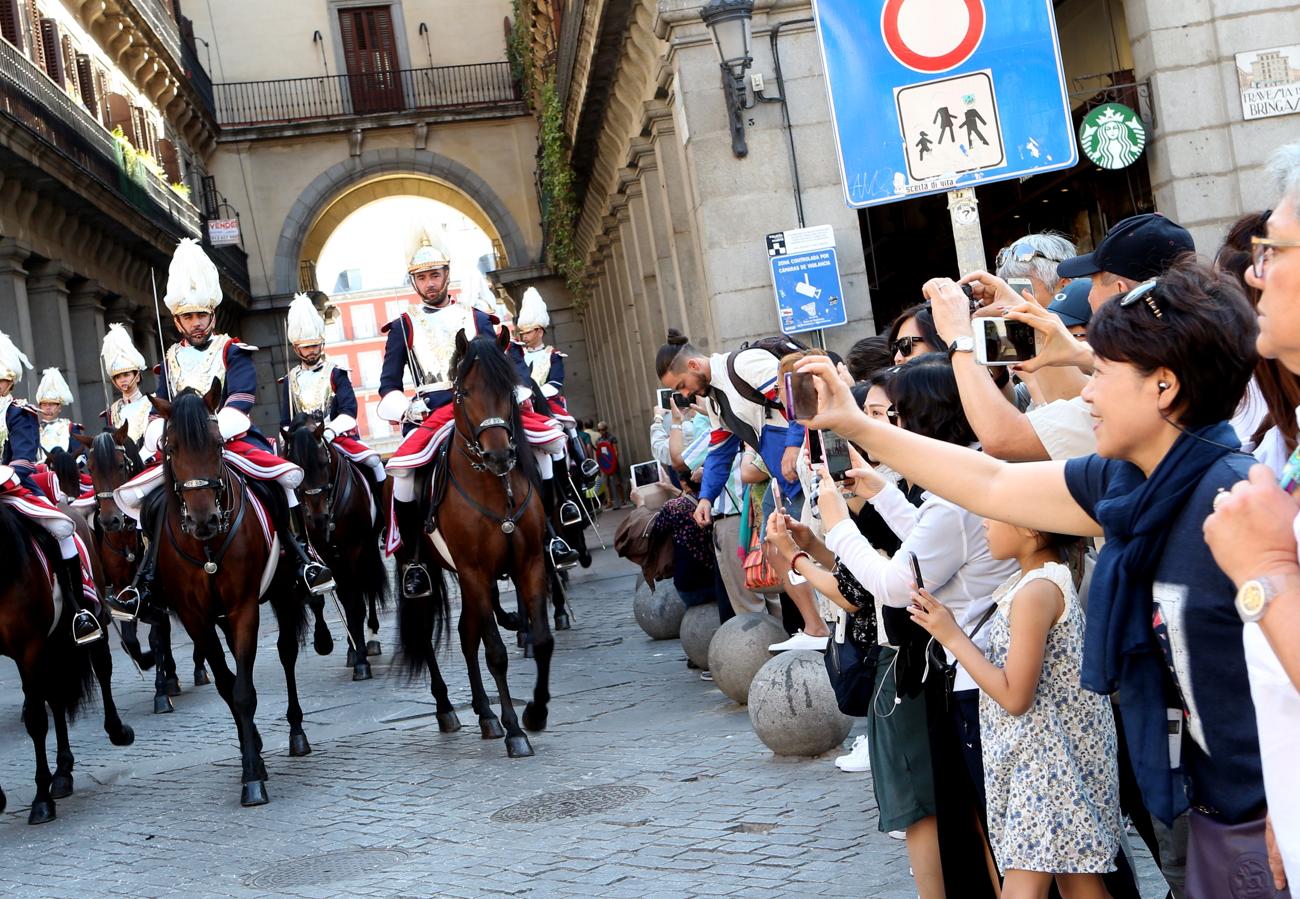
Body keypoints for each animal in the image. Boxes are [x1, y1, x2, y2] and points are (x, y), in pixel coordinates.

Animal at [0, 498, 134, 821]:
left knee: (102, 669)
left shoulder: (27, 648)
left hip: (93, 616)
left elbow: (36, 719)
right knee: (57, 697)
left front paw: (41, 800)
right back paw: (62, 772)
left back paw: (117, 730)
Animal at [148, 381, 310, 805]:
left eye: (219, 443)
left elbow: (243, 692)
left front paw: (253, 778)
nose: (203, 520)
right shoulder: (196, 619)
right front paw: (252, 758)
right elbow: (226, 685)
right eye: (171, 447)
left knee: (286, 654)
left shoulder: (243, 608)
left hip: (283, 595)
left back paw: (297, 732)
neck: (206, 547)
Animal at [395, 326, 548, 753]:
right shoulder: (475, 571)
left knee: (466, 634)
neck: (494, 489)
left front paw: (535, 712)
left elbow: (541, 640)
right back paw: (448, 709)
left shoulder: (529, 564)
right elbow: (495, 651)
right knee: (427, 636)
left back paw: (484, 713)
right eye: (463, 392)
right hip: (428, 572)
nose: (499, 456)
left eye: (509, 390)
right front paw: (516, 732)